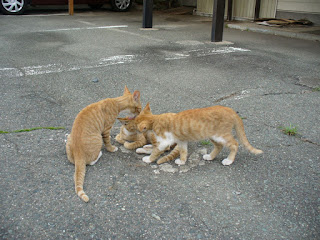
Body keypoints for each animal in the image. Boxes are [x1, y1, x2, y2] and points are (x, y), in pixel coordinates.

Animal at [132, 103, 262, 167]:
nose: (133, 128)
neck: (156, 120)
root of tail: (230, 110)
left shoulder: (164, 142)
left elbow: (156, 151)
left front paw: (148, 159)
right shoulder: (182, 140)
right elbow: (183, 151)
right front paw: (182, 161)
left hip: (221, 135)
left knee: (234, 144)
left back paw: (229, 160)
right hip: (212, 135)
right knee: (219, 146)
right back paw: (210, 157)